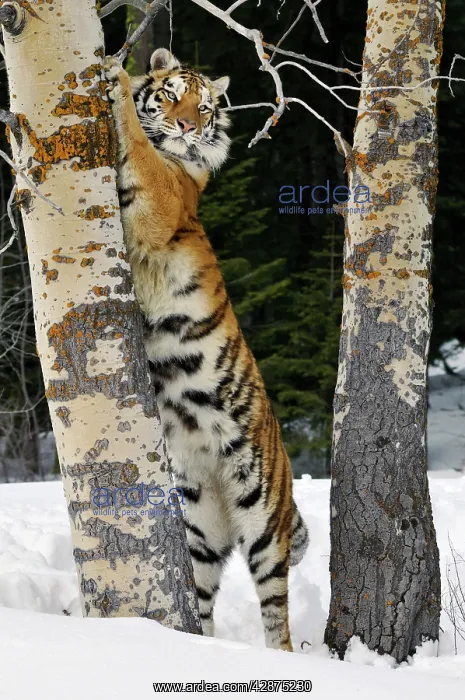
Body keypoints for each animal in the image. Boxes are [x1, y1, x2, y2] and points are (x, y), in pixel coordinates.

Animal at [104, 48, 309, 651]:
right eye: (173, 96)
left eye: (205, 106)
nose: (188, 127)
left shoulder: (162, 192)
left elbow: (138, 144)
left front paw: (114, 72)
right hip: (199, 528)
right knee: (201, 599)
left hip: (263, 518)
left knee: (276, 613)